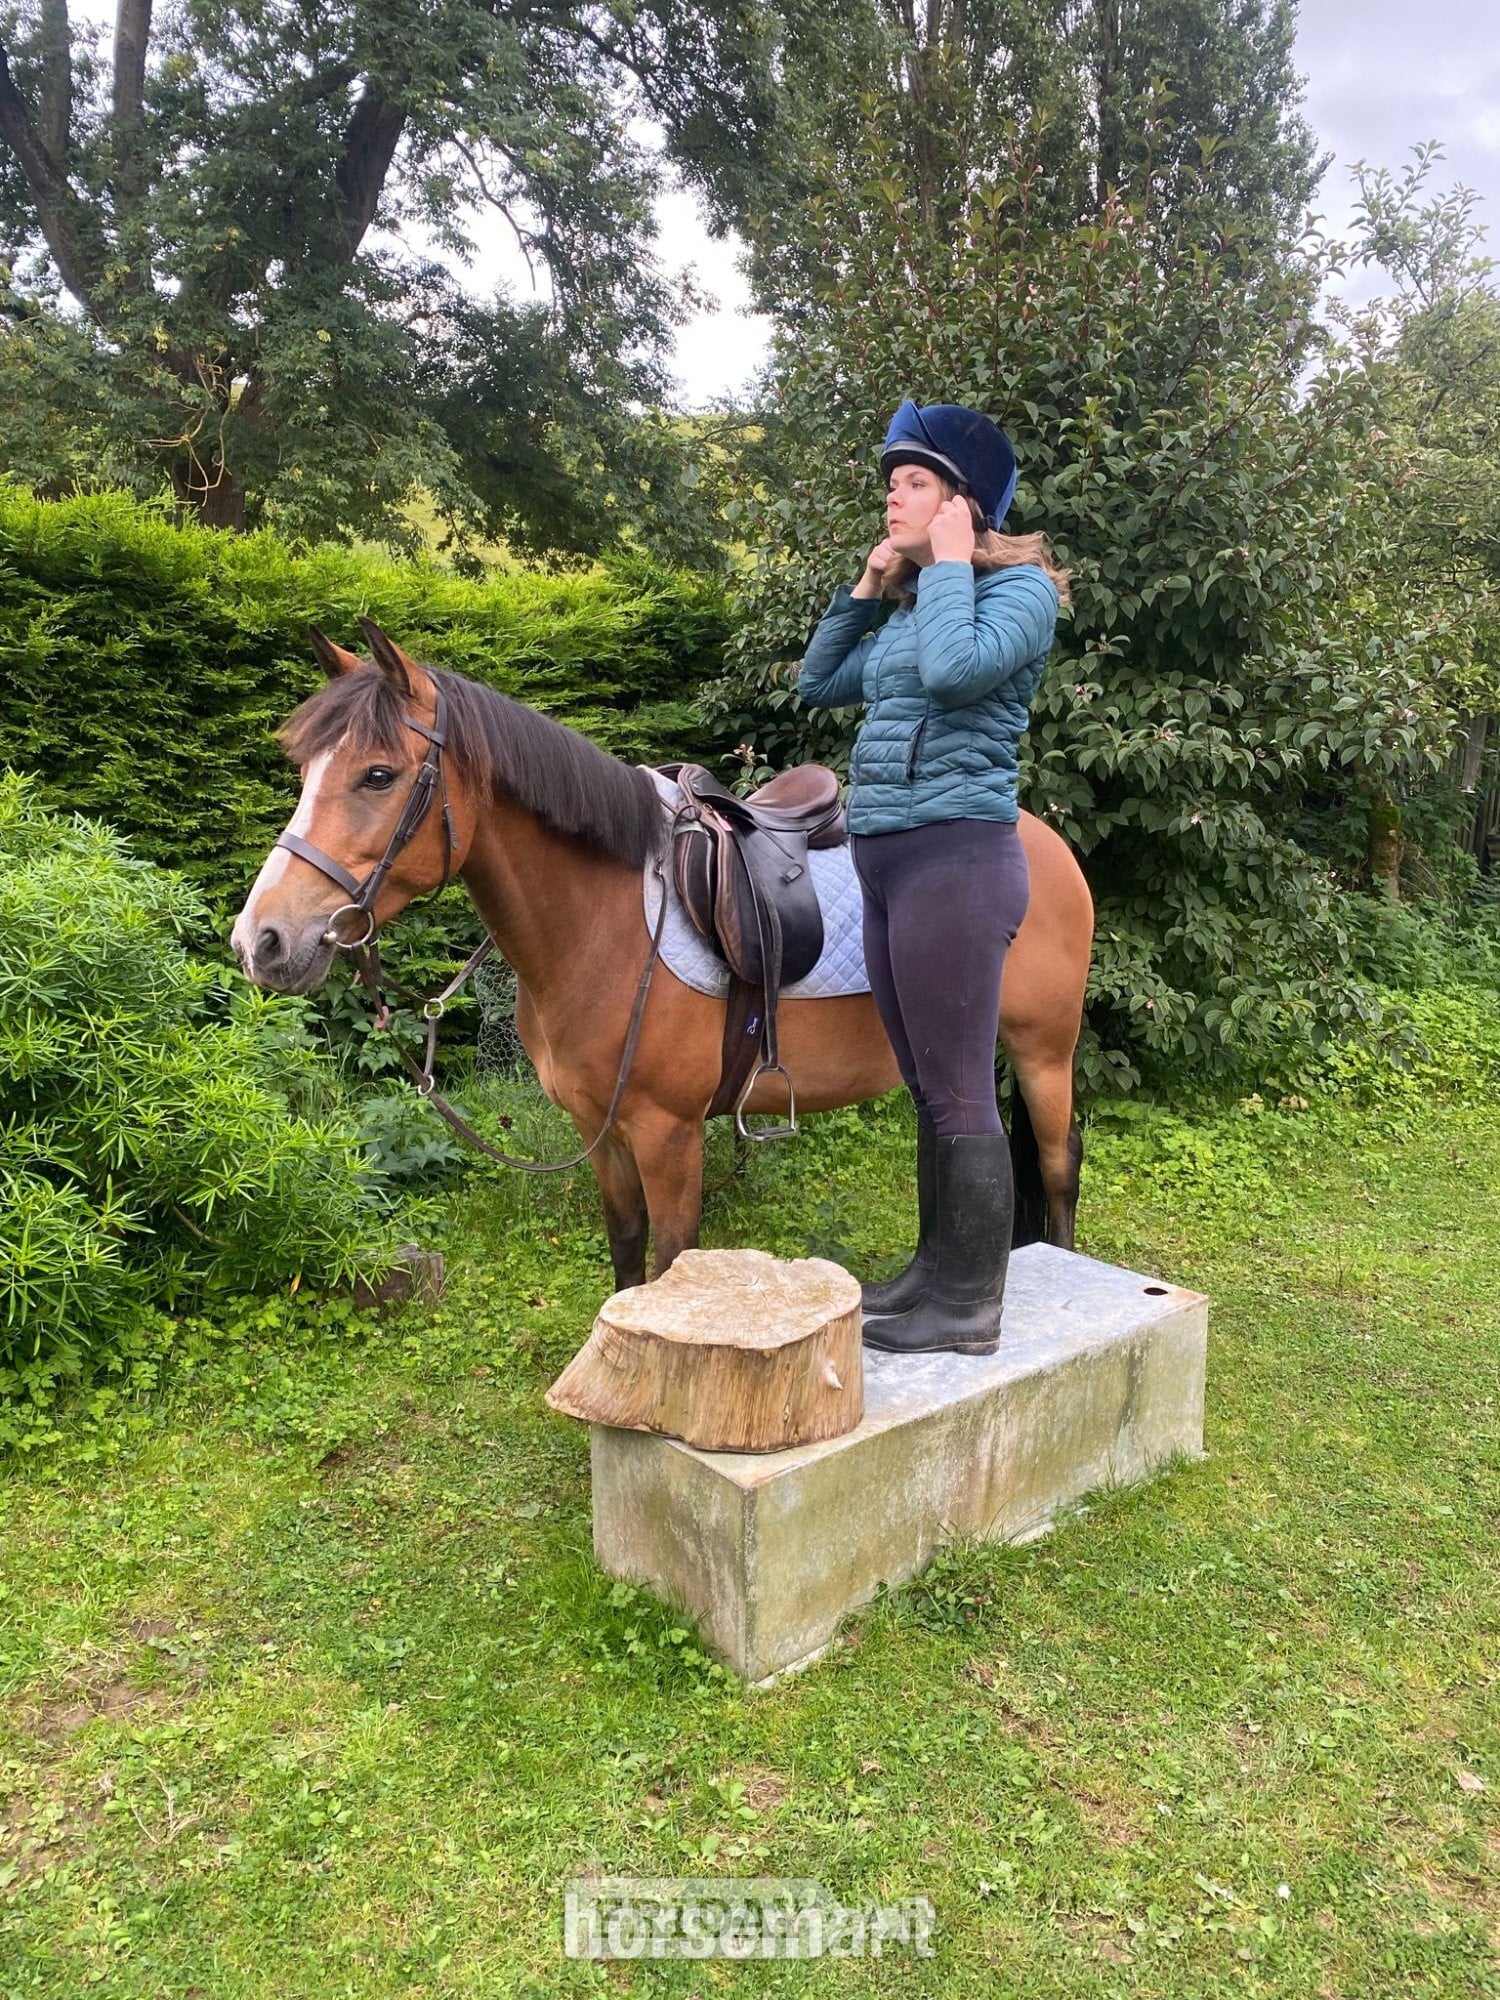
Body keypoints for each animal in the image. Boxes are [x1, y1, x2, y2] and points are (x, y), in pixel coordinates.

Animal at [232, 621, 1095, 1290]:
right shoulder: (603, 1132)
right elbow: (627, 1257)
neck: (604, 929)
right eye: (304, 771)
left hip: (1043, 1050)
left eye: (378, 775)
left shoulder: (668, 1136)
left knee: (1057, 1163)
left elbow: (671, 1267)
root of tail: (1045, 841)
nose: (261, 941)